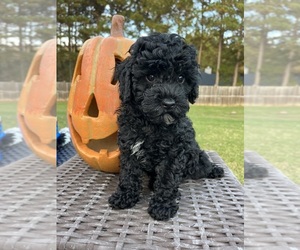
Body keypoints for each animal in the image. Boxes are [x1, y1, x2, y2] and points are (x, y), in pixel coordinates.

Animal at [109, 33, 224, 221]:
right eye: (150, 77)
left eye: (181, 78)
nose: (169, 103)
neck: (151, 123)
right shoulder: (129, 147)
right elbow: (129, 173)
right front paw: (124, 196)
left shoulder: (174, 152)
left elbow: (167, 178)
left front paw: (162, 206)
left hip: (196, 159)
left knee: (203, 166)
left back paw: (215, 170)